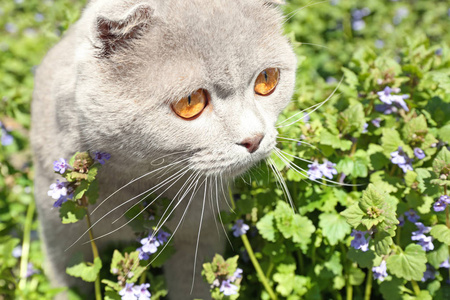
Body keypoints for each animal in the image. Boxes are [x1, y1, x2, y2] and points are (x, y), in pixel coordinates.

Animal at [29, 0, 298, 298]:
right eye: (190, 102)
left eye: (267, 79)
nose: (254, 138)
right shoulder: (60, 236)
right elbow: (67, 280)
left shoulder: (200, 233)